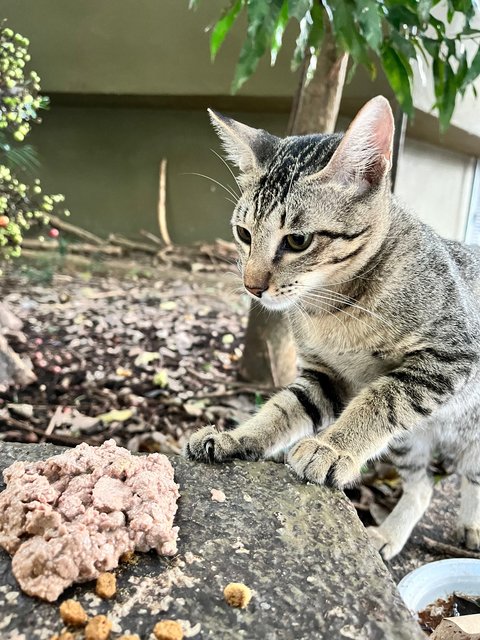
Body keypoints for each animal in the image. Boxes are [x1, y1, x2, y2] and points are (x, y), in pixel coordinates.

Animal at [184, 96, 480, 560]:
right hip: (409, 441)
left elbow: (381, 399)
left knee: (470, 476)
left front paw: (332, 446)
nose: (251, 286)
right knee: (423, 487)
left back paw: (470, 523)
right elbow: (284, 408)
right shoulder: (326, 376)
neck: (331, 309)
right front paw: (239, 437)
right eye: (243, 233)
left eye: (298, 240)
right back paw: (389, 534)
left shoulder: (450, 356)